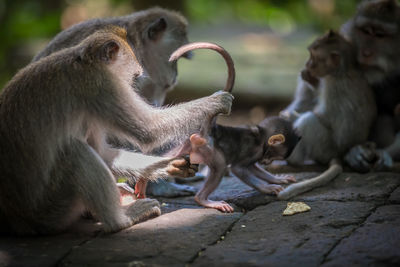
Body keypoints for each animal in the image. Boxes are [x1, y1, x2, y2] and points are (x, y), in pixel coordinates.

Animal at [0, 27, 234, 236]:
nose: (131, 87)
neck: (85, 61)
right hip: (50, 211)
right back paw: (121, 219)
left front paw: (170, 166)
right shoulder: (102, 86)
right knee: (75, 152)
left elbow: (104, 152)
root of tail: (16, 222)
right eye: (133, 75)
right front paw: (216, 101)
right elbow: (149, 129)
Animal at [276, 30, 376, 200]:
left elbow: (325, 116)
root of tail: (340, 154)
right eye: (310, 55)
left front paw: (287, 117)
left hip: (324, 147)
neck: (341, 71)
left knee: (308, 120)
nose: (307, 64)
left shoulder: (333, 85)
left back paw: (293, 158)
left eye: (313, 57)